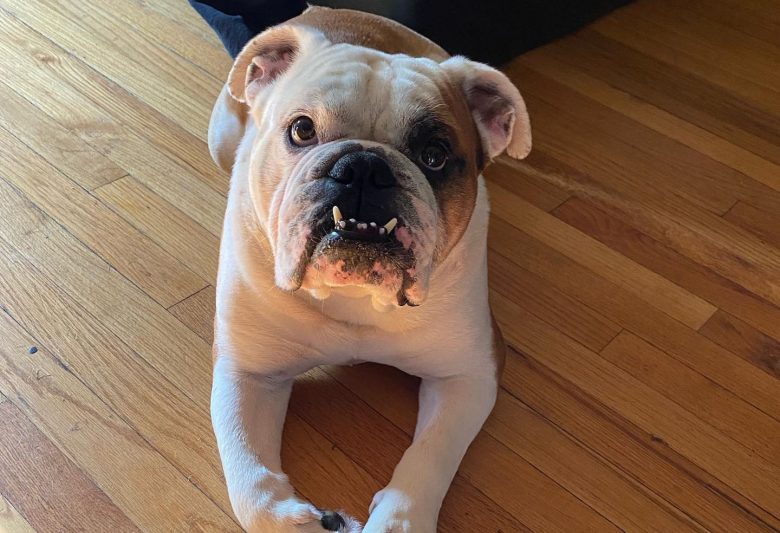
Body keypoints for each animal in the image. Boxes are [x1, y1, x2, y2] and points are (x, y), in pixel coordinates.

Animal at [207, 5, 532, 532]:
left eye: (435, 155)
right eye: (302, 129)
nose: (363, 166)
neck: (354, 295)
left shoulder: (469, 374)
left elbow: (430, 457)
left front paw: (396, 521)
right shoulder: (246, 372)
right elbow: (251, 486)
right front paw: (301, 521)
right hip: (219, 136)